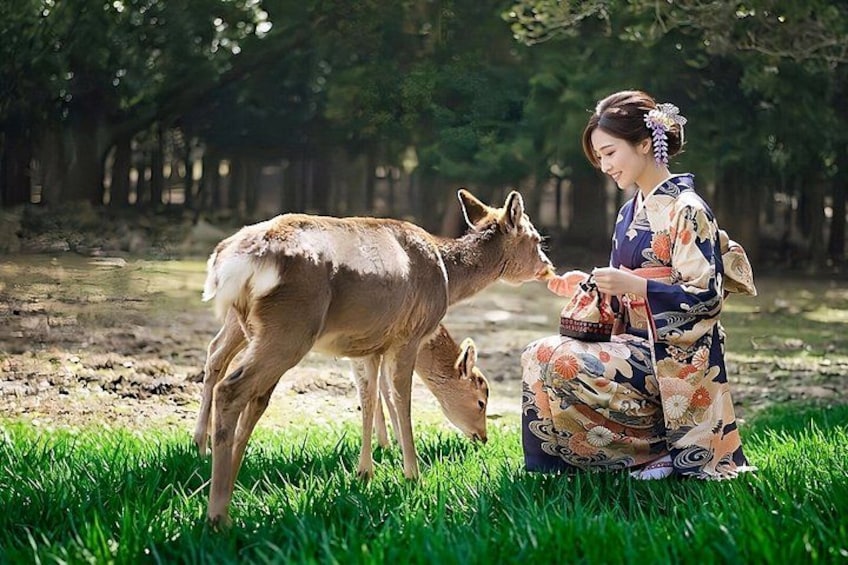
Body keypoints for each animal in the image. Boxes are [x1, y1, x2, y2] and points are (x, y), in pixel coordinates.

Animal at [193, 313, 490, 456]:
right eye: (481, 401)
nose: (483, 437)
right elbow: (379, 387)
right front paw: (390, 445)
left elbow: (379, 387)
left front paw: (387, 443)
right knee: (216, 353)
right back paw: (200, 444)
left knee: (217, 351)